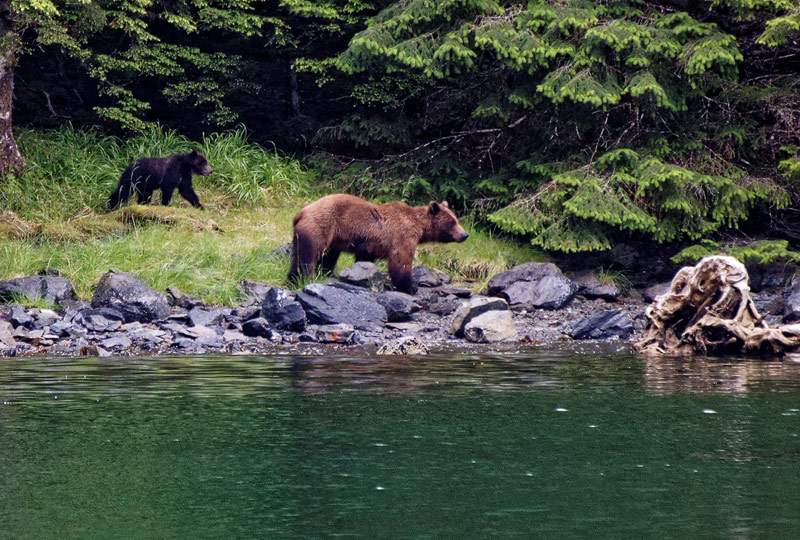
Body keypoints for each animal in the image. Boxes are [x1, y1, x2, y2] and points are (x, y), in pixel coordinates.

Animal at [287, 194, 469, 294]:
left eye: (456, 219)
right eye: (452, 223)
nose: (465, 235)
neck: (420, 228)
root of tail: (301, 212)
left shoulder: (370, 244)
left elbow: (365, 259)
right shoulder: (402, 236)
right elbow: (400, 262)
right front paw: (409, 288)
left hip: (333, 237)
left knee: (326, 256)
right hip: (320, 226)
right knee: (307, 255)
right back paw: (297, 279)